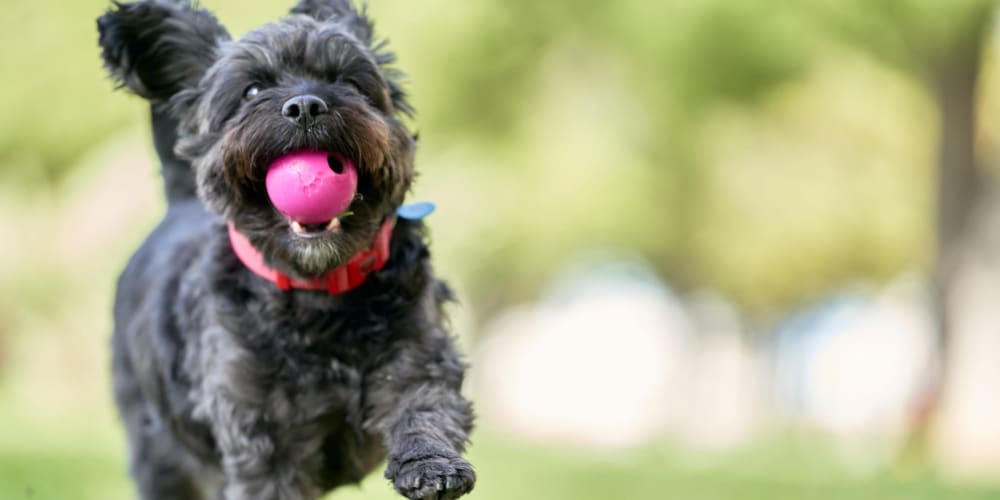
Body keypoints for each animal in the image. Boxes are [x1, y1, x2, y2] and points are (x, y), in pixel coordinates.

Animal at [95, 1, 478, 498]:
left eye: (349, 82)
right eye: (252, 89)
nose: (305, 106)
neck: (318, 290)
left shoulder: (417, 352)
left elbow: (425, 405)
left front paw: (431, 463)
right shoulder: (258, 431)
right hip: (159, 458)